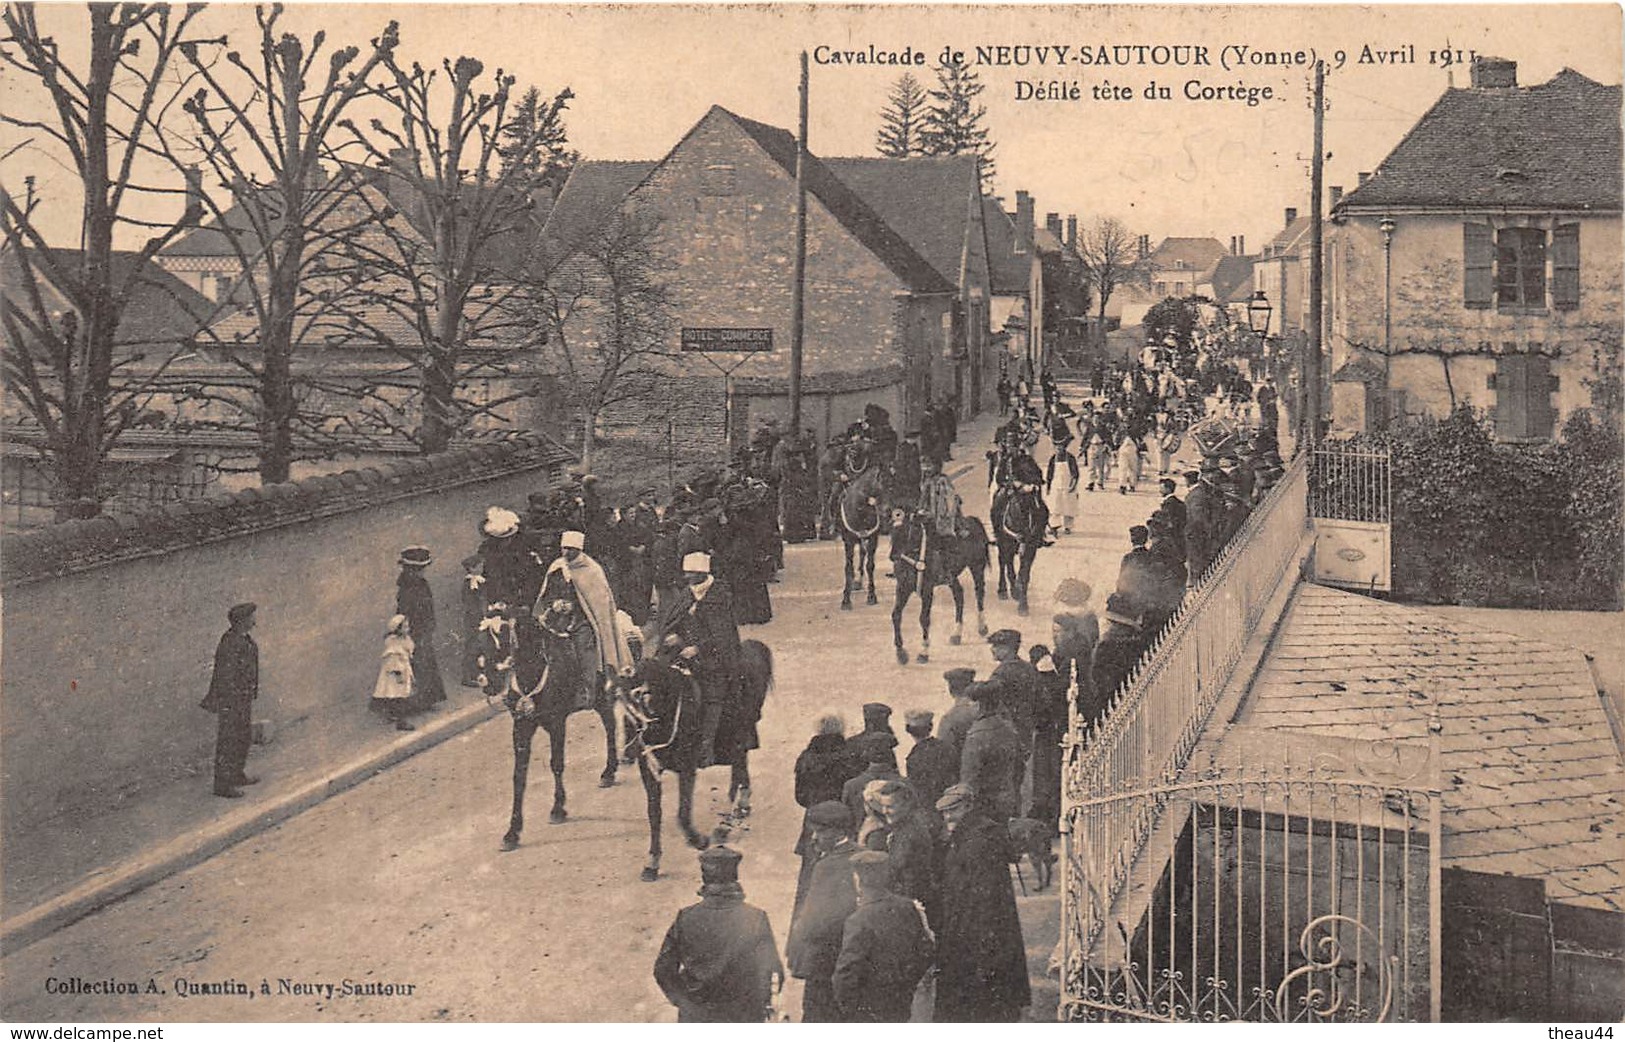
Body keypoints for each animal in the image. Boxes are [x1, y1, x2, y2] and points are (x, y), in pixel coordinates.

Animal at [481, 601, 620, 851]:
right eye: (482, 636)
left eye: (504, 633)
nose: (488, 681)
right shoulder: (521, 727)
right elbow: (518, 777)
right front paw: (512, 833)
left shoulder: (557, 723)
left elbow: (556, 764)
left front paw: (558, 809)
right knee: (610, 723)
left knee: (615, 725)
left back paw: (612, 768)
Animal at [620, 643, 773, 877]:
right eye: (634, 685)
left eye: (656, 683)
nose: (643, 703)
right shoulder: (649, 769)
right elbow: (654, 813)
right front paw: (652, 862)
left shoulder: (687, 767)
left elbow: (683, 812)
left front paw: (698, 840)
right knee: (740, 762)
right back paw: (740, 803)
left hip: (741, 727)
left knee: (739, 762)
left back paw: (735, 809)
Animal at [838, 458, 890, 611]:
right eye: (882, 483)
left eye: (892, 484)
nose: (887, 512)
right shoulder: (848, 541)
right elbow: (848, 568)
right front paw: (846, 600)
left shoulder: (873, 539)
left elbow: (870, 565)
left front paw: (872, 596)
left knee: (862, 554)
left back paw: (858, 581)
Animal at [890, 507, 988, 663]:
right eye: (892, 529)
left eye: (908, 528)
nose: (893, 556)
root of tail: (971, 520)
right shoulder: (902, 588)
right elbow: (896, 615)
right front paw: (901, 652)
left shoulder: (927, 590)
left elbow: (924, 619)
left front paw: (924, 652)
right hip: (952, 577)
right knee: (959, 595)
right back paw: (956, 634)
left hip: (977, 567)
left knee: (979, 594)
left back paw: (982, 627)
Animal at [994, 481, 1046, 614]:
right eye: (1015, 506)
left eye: (1032, 507)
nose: (1025, 536)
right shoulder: (1006, 543)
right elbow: (1007, 564)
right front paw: (1012, 590)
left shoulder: (1030, 549)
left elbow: (1024, 576)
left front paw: (1023, 604)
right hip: (1002, 541)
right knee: (1002, 561)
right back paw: (1003, 590)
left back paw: (1014, 589)